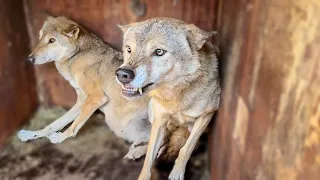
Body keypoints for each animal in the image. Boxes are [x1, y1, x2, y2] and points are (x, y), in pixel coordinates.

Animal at [16, 16, 152, 160]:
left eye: (52, 40)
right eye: (40, 37)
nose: (30, 59)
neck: (76, 55)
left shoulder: (96, 98)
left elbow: (75, 125)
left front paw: (60, 137)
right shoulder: (82, 101)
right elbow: (55, 124)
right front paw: (32, 134)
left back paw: (135, 152)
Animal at [116, 17, 221, 179]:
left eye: (159, 52)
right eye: (128, 49)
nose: (122, 74)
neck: (175, 96)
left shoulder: (206, 116)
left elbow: (186, 149)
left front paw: (176, 174)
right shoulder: (160, 119)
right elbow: (148, 159)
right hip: (153, 111)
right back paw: (138, 150)